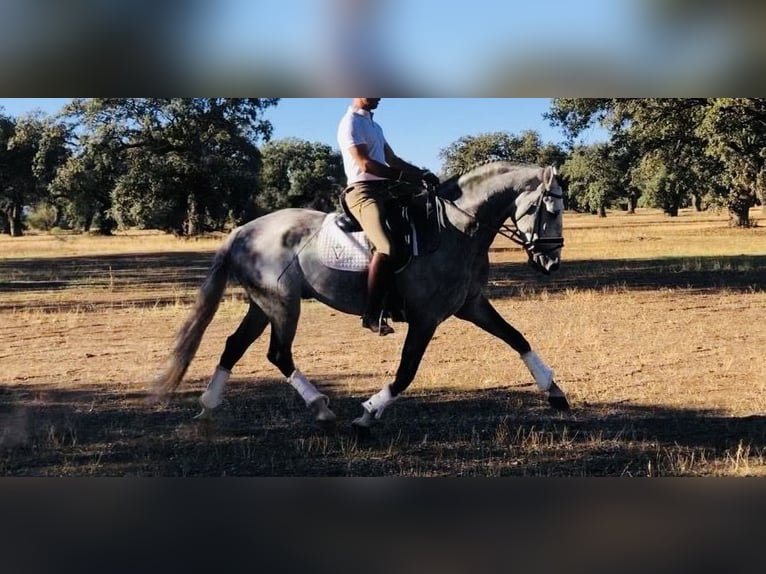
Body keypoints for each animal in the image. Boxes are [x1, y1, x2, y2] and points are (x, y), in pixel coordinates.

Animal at [152, 162, 568, 432]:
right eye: (547, 209)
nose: (550, 262)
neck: (456, 229)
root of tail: (243, 231)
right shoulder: (426, 317)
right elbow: (406, 371)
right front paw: (369, 412)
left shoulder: (471, 305)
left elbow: (517, 338)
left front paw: (555, 392)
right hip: (283, 305)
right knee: (278, 354)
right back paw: (320, 408)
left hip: (262, 304)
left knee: (234, 346)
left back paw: (208, 406)